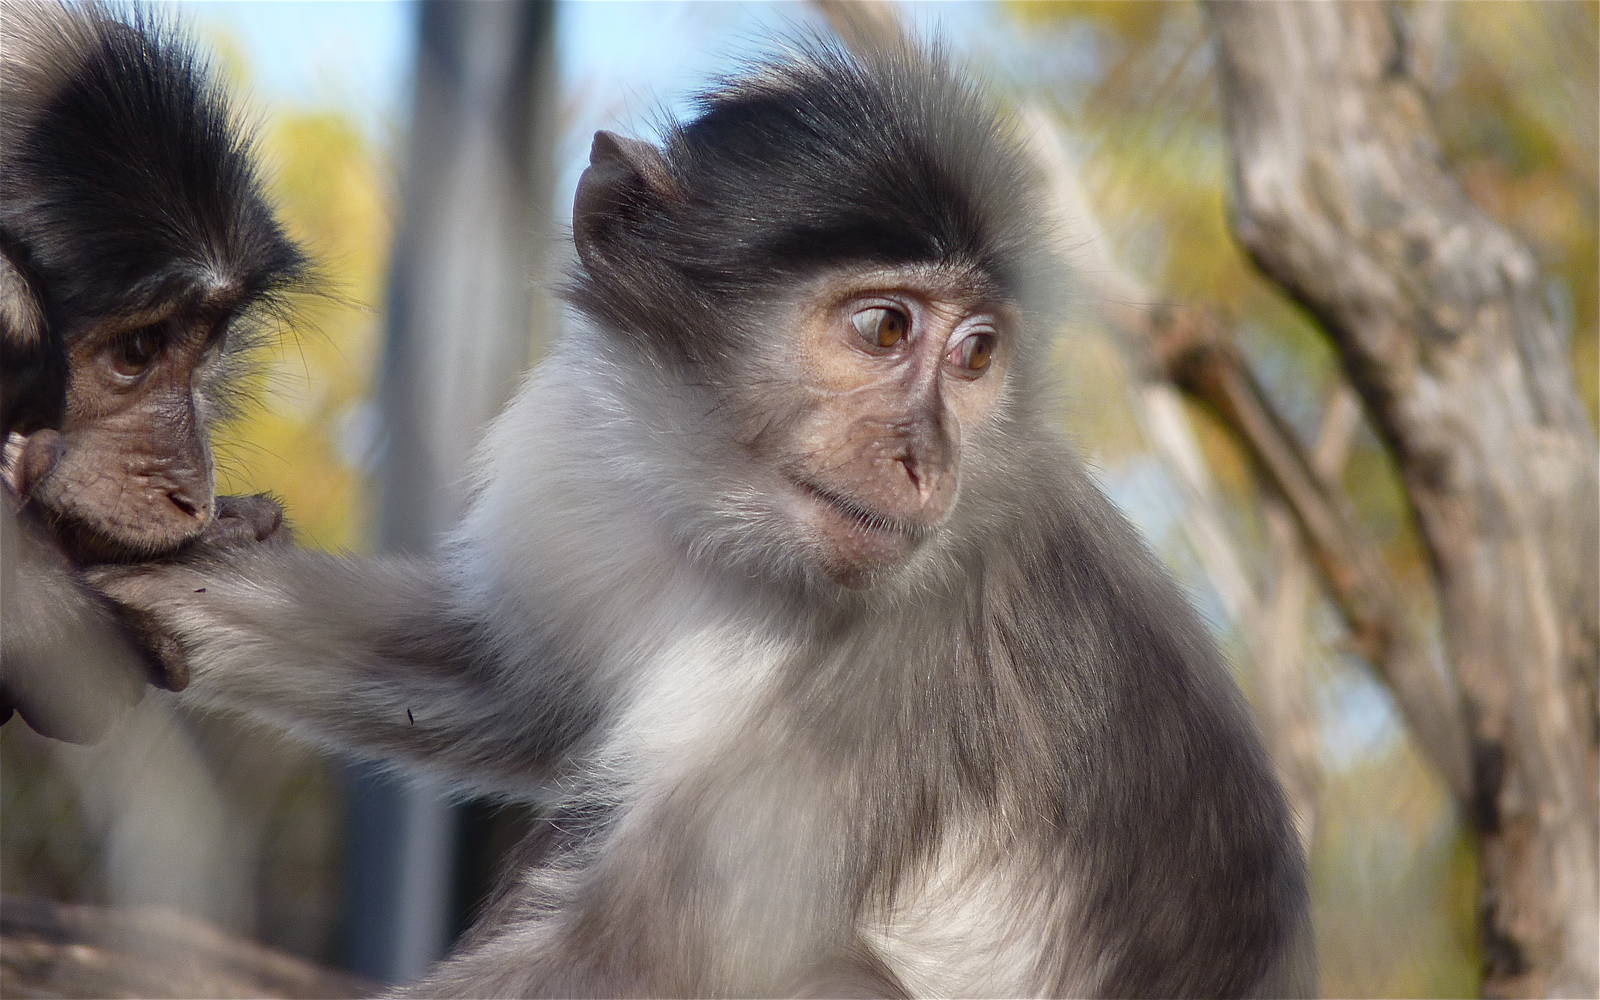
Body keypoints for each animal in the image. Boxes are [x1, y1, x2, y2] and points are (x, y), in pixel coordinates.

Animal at [94, 42, 1312, 997]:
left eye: (975, 355)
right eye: (884, 328)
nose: (925, 461)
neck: (744, 531)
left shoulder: (922, 634)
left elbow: (633, 961)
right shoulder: (580, 457)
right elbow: (512, 684)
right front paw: (162, 578)